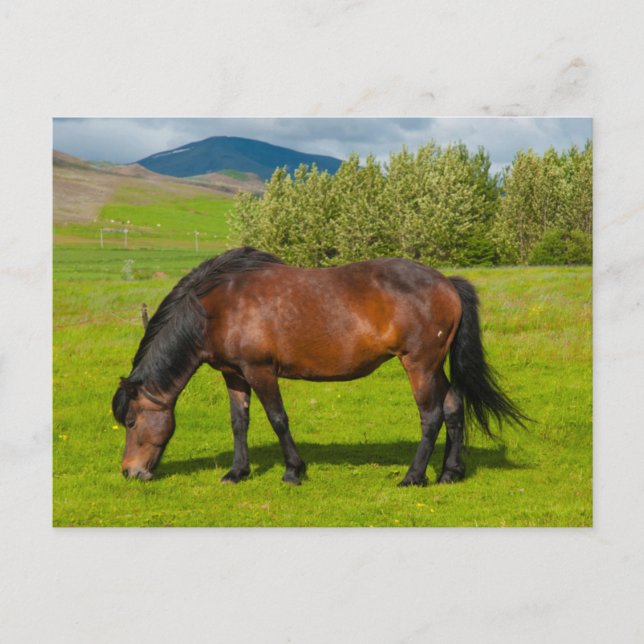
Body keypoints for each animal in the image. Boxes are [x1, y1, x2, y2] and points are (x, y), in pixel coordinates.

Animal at [112, 246, 527, 486]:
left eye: (131, 421)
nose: (130, 471)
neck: (219, 306)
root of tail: (447, 282)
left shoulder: (260, 371)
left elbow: (278, 419)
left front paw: (293, 471)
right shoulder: (235, 375)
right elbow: (239, 423)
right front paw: (237, 472)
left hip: (420, 366)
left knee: (432, 415)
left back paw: (413, 477)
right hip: (434, 366)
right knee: (454, 405)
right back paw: (449, 473)